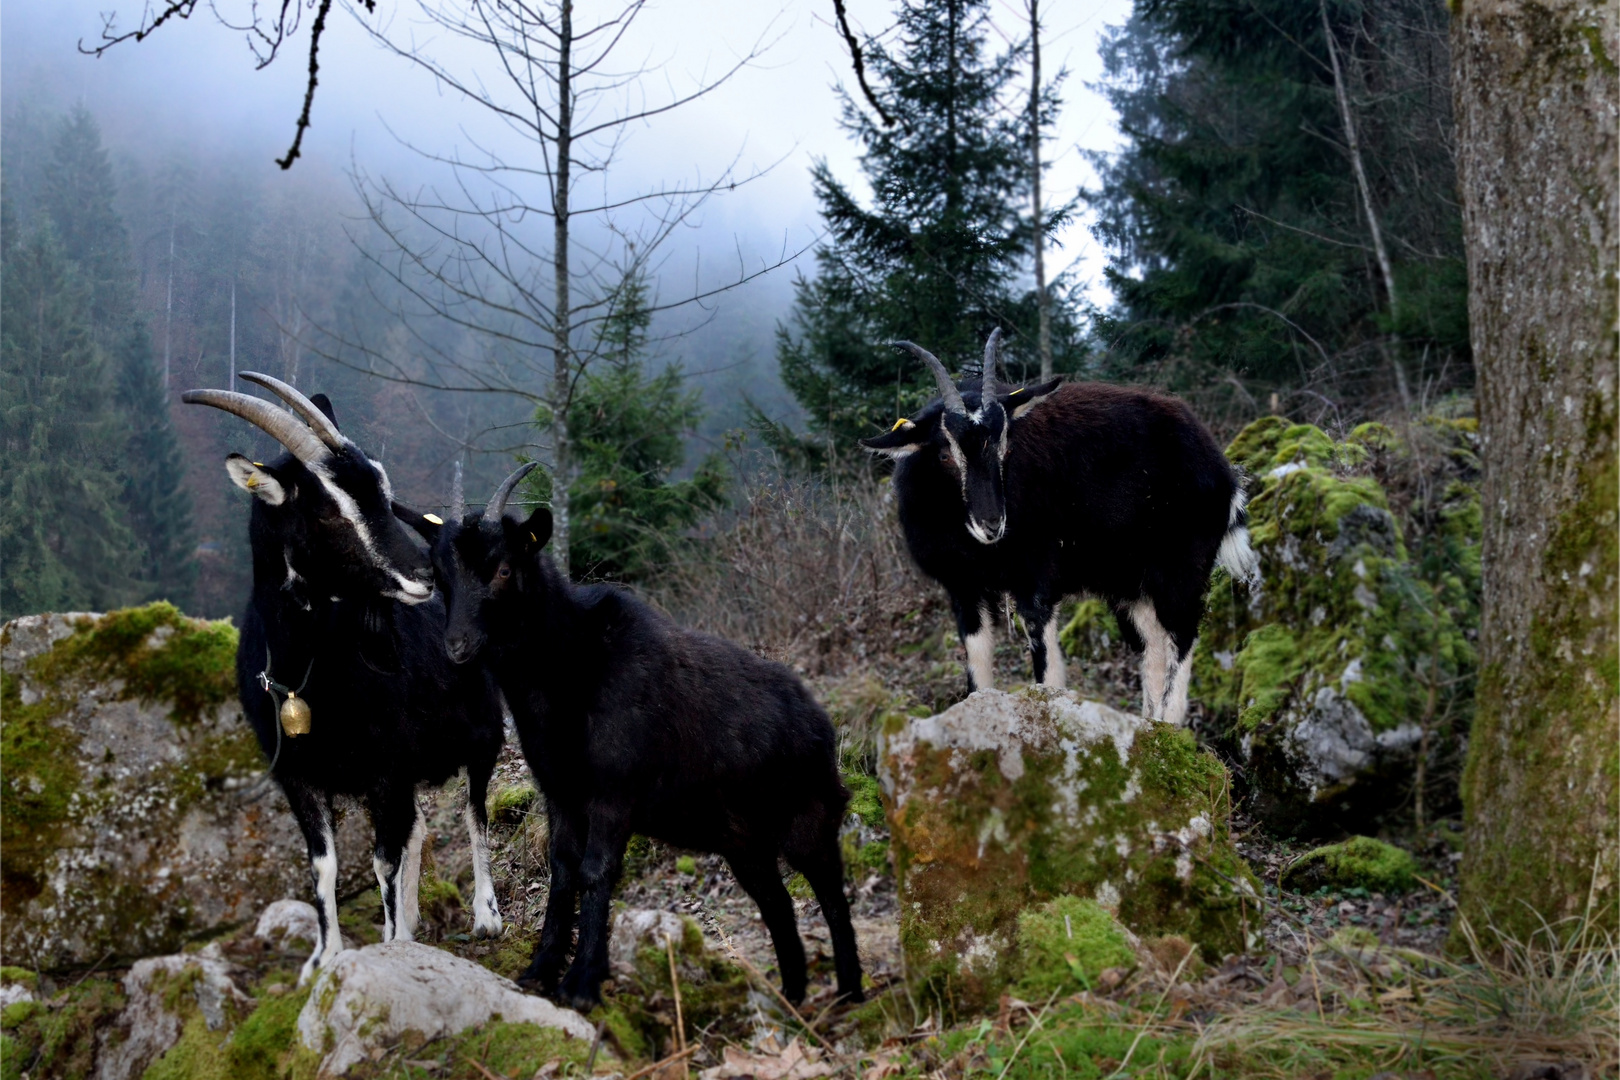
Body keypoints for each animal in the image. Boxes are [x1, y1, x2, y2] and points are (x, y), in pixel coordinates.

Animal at [182, 378, 505, 990]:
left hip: (481, 735)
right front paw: (323, 958)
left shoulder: (386, 767)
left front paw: (390, 947)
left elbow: (383, 858)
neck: (305, 673)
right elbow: (324, 865)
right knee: (419, 827)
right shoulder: (299, 774)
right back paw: (413, 918)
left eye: (382, 488)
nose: (424, 576)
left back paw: (485, 916)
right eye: (327, 512)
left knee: (475, 815)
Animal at [398, 466, 868, 1016]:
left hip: (809, 817)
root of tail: (820, 722)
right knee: (777, 903)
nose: (458, 646)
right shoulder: (561, 793)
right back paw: (792, 996)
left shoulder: (614, 793)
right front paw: (541, 968)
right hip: (742, 841)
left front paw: (582, 982)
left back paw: (850, 991)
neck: (571, 670)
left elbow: (596, 872)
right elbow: (563, 870)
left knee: (832, 896)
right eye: (440, 575)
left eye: (504, 569)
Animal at [861, 333, 1250, 731]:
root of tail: (1221, 469)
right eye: (944, 455)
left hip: (1181, 565)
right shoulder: (963, 588)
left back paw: (1169, 727)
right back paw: (1148, 724)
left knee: (1183, 635)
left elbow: (1046, 669)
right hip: (1129, 579)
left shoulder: (1035, 579)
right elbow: (978, 671)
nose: (992, 524)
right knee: (1155, 643)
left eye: (1006, 447)